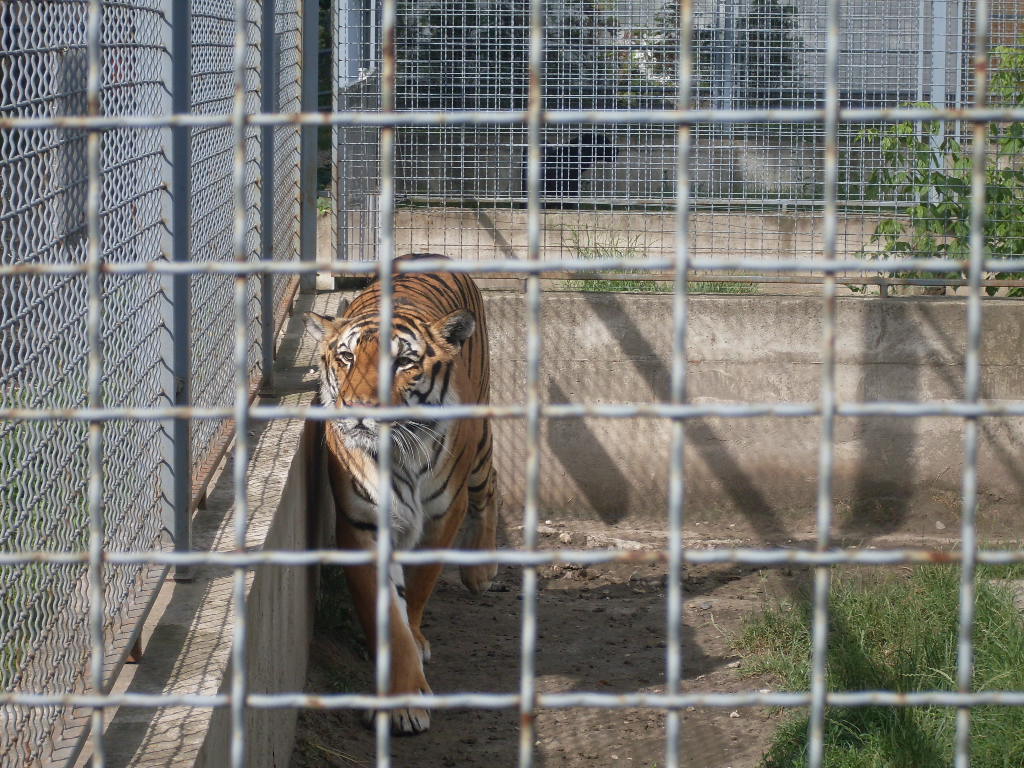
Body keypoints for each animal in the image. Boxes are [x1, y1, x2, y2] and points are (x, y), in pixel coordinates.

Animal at [305, 253, 498, 735]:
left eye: (403, 362)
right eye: (346, 357)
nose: (358, 410)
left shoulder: (442, 515)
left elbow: (419, 588)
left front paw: (416, 641)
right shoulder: (361, 524)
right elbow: (388, 616)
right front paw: (402, 699)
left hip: (480, 446)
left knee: (490, 485)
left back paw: (480, 571)